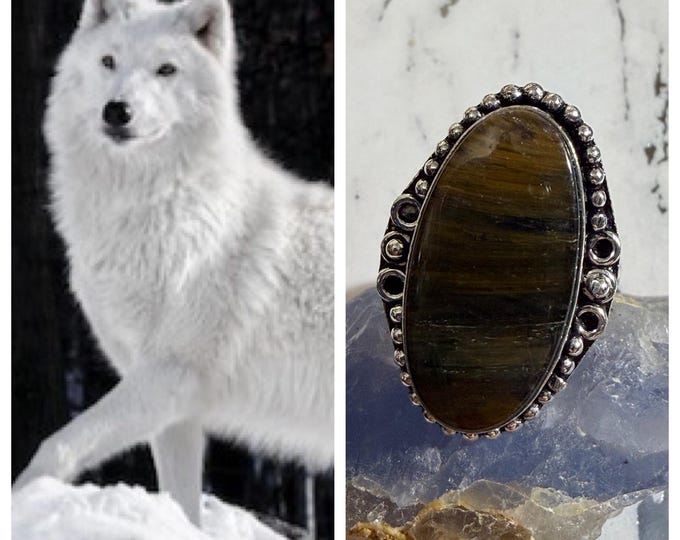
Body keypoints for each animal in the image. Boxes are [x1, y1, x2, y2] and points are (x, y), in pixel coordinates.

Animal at [14, 0, 334, 525]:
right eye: (109, 61)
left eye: (166, 70)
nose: (117, 111)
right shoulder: (174, 409)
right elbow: (181, 504)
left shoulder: (167, 376)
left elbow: (55, 447)